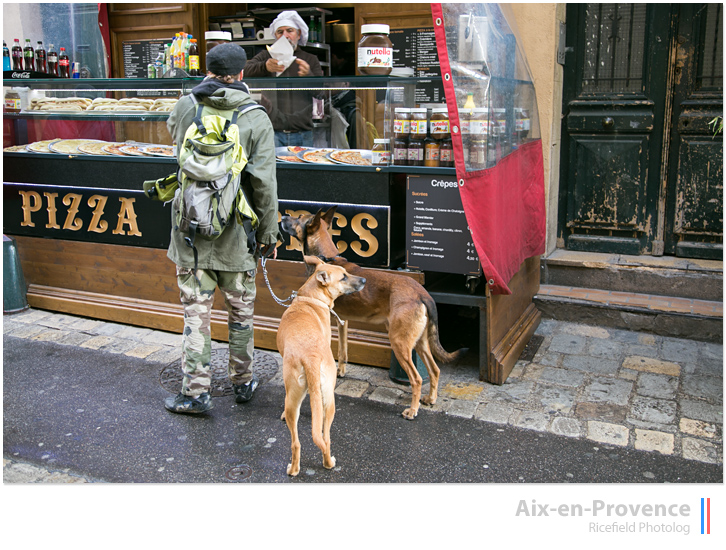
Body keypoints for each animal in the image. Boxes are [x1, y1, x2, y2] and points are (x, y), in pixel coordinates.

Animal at [278, 256, 370, 476]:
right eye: (343, 276)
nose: (364, 280)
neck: (309, 298)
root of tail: (310, 358)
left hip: (299, 401)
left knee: (297, 442)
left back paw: (294, 469)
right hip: (330, 401)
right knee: (326, 438)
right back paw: (329, 463)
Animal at [282, 208, 470, 422]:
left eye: (298, 217)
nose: (283, 216)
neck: (326, 257)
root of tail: (422, 293)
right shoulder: (342, 321)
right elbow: (343, 350)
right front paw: (341, 372)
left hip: (399, 342)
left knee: (416, 379)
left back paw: (412, 410)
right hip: (420, 342)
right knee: (435, 370)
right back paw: (431, 399)